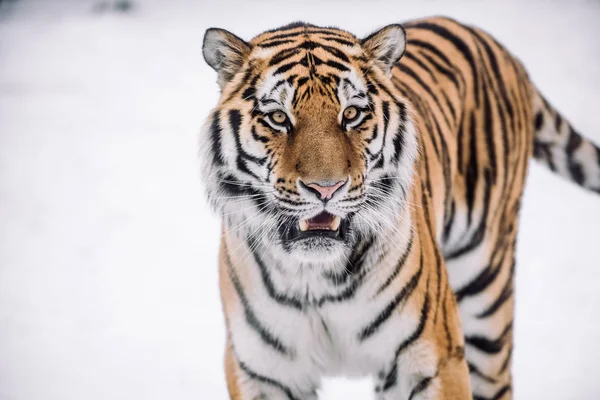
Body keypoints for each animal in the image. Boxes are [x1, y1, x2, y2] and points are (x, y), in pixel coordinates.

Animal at [198, 16, 600, 400]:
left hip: (487, 296)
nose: (326, 188)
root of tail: (495, 43)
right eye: (279, 118)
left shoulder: (432, 357)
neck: (318, 279)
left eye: (352, 114)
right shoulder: (261, 372)